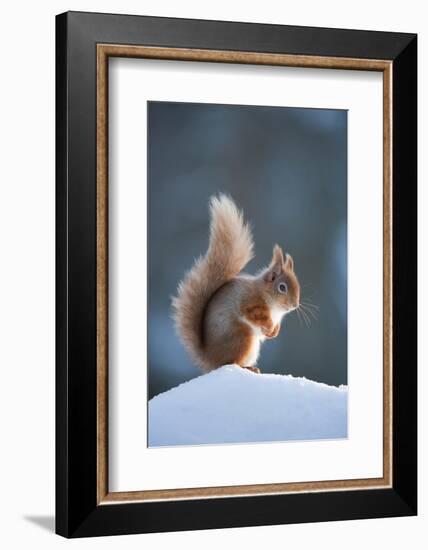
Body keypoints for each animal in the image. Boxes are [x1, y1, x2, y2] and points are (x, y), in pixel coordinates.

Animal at [172, 194, 300, 376]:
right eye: (282, 287)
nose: (295, 305)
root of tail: (210, 360)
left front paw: (274, 332)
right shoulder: (251, 302)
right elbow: (253, 314)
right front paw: (268, 327)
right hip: (243, 338)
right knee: (231, 362)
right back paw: (247, 367)